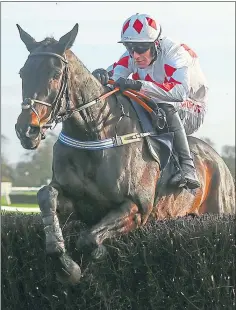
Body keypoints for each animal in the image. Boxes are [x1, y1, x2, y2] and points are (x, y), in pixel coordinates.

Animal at [15, 24, 236, 286]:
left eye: (55, 73)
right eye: (22, 73)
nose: (26, 129)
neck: (94, 134)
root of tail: (221, 163)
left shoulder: (137, 207)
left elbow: (88, 239)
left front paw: (93, 254)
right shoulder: (75, 201)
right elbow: (45, 195)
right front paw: (64, 263)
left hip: (218, 209)